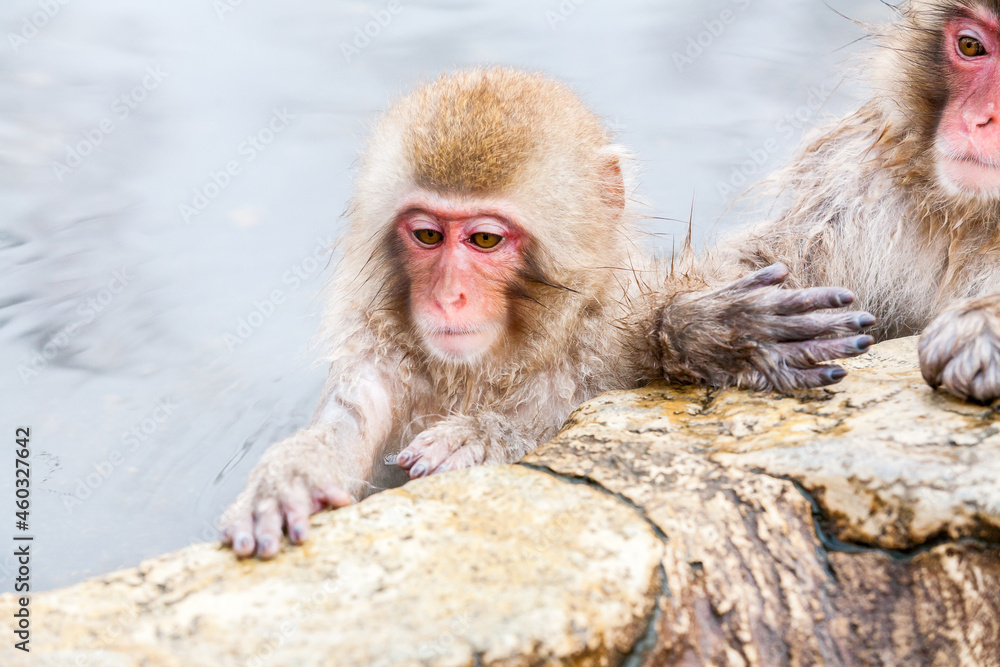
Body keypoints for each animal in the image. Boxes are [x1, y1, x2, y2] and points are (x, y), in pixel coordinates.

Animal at [219, 67, 874, 559]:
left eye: (484, 240)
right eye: (428, 235)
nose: (447, 296)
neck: (490, 366)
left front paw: (708, 334)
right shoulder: (380, 354)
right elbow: (351, 420)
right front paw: (289, 478)